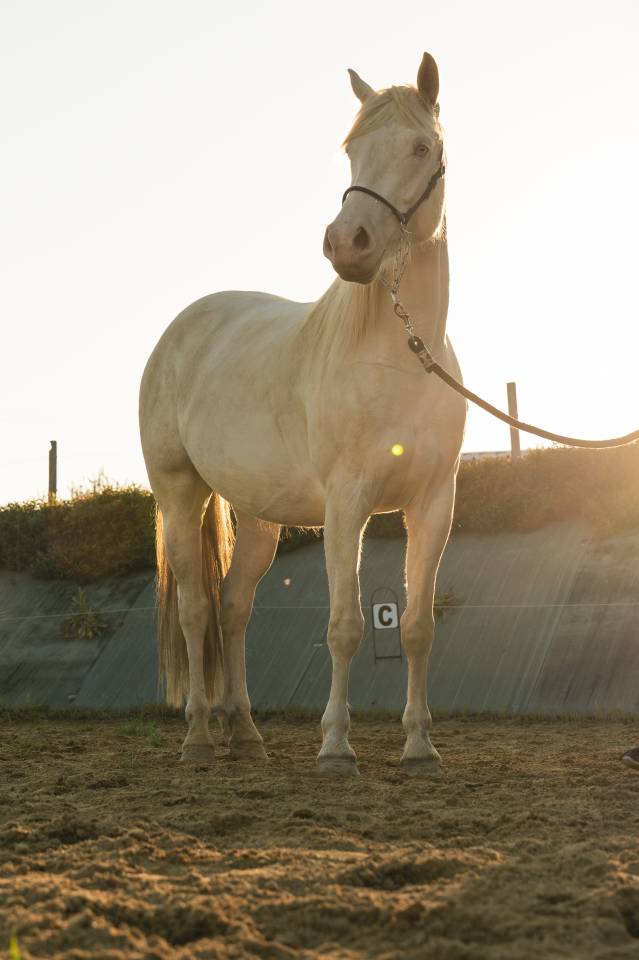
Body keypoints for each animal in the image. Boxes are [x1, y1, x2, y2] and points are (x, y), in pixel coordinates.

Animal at [139, 52, 466, 777]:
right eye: (349, 149)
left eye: (420, 147)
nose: (348, 243)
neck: (400, 357)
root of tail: (182, 329)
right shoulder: (348, 504)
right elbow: (344, 626)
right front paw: (336, 747)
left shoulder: (432, 503)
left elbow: (418, 626)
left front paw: (420, 747)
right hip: (180, 493)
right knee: (196, 611)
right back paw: (199, 736)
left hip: (257, 516)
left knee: (233, 608)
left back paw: (246, 734)